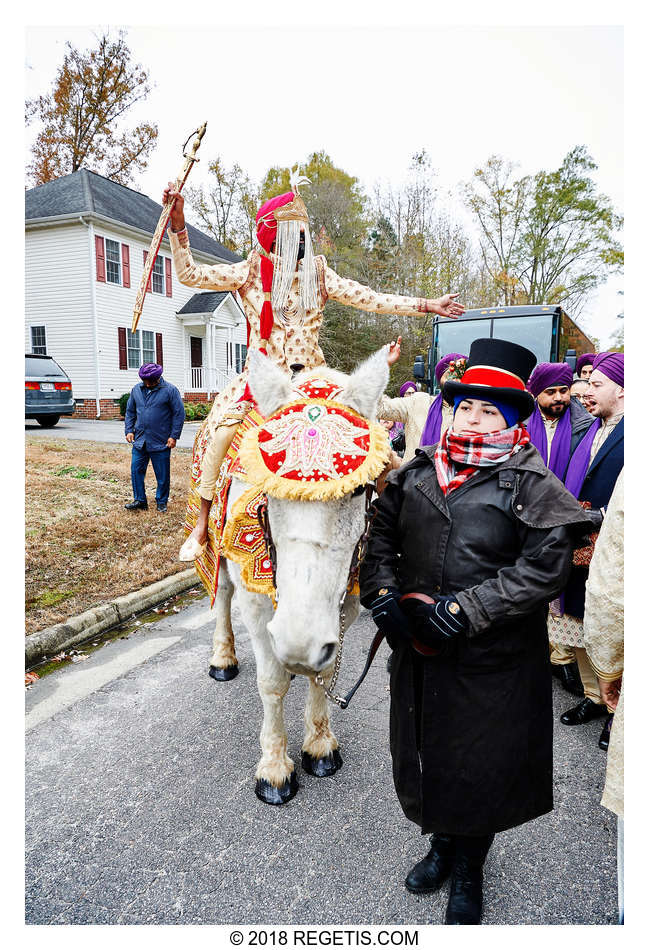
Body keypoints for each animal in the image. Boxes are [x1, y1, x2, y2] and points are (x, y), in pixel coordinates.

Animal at [205, 350, 388, 804]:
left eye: (357, 490)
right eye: (268, 493)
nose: (297, 646)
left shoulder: (344, 607)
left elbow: (324, 672)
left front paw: (320, 746)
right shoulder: (257, 604)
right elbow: (271, 683)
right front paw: (274, 770)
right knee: (223, 596)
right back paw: (223, 658)